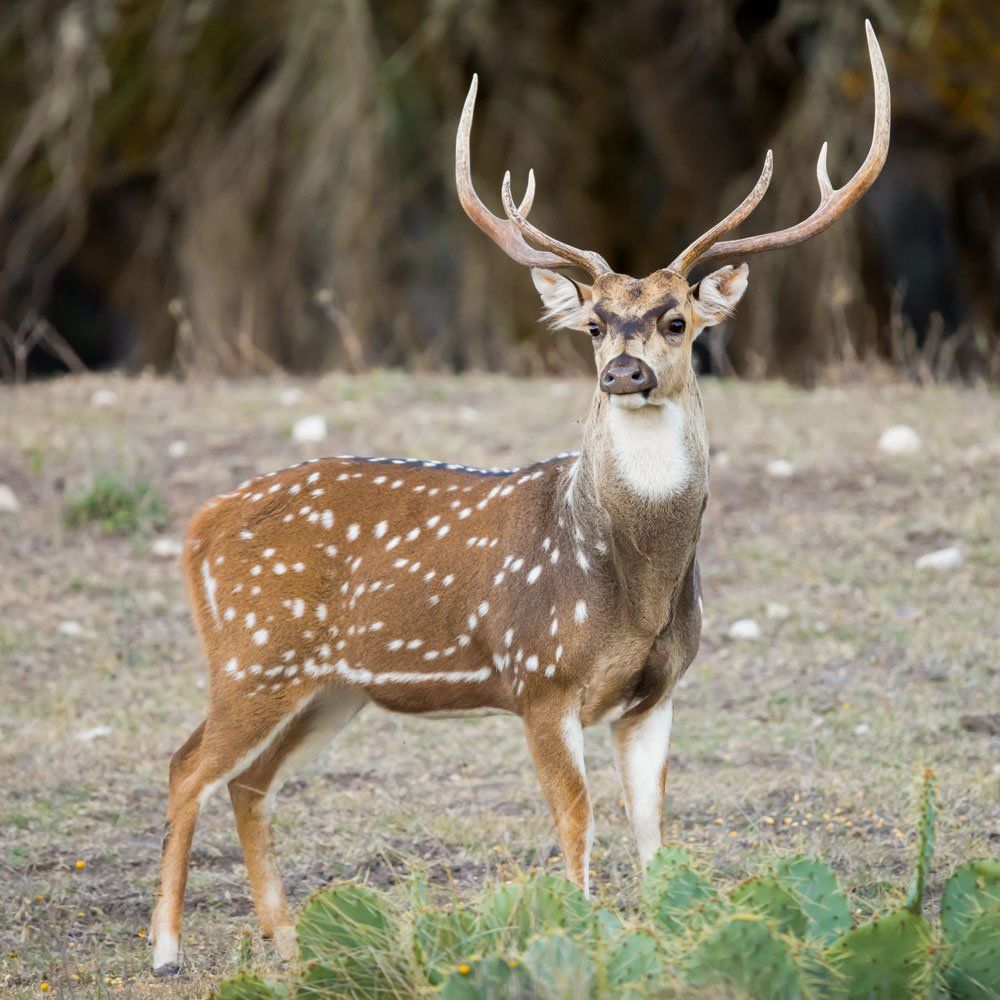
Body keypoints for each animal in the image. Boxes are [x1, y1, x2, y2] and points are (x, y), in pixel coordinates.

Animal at [149, 22, 889, 976]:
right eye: (594, 324)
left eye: (677, 320)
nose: (624, 371)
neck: (633, 584)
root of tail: (200, 526)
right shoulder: (541, 677)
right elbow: (576, 822)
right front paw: (579, 934)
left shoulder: (659, 691)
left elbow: (653, 832)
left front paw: (666, 939)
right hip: (253, 653)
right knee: (186, 765)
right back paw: (167, 950)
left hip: (331, 686)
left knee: (247, 780)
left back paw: (289, 944)